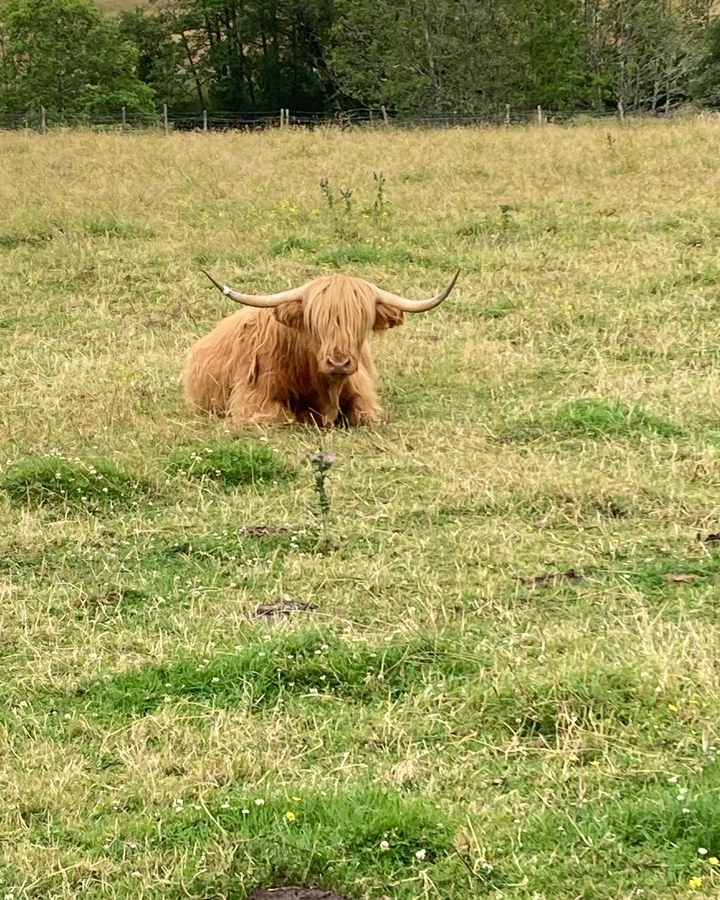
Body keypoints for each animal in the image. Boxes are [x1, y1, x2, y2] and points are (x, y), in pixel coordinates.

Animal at [183, 268, 460, 428]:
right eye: (315, 324)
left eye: (361, 323)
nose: (339, 362)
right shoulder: (252, 402)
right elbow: (283, 417)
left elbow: (365, 416)